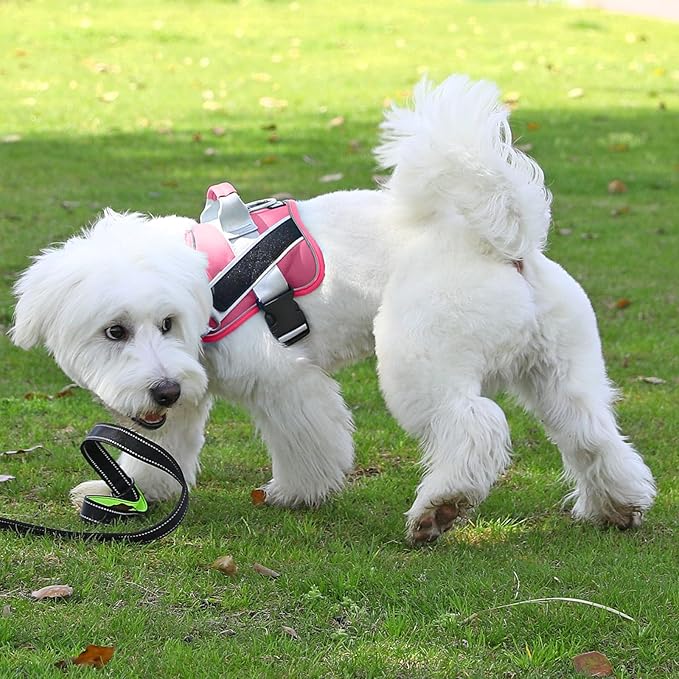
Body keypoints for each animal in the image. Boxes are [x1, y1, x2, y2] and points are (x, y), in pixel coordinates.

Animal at [10, 75, 656, 540]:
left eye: (163, 324)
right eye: (115, 332)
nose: (163, 389)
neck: (209, 285)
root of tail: (504, 245)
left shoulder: (285, 381)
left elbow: (308, 441)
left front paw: (298, 492)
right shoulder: (184, 395)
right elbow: (163, 448)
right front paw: (144, 489)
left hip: (418, 360)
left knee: (475, 424)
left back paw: (439, 507)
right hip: (559, 371)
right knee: (591, 434)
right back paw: (617, 505)